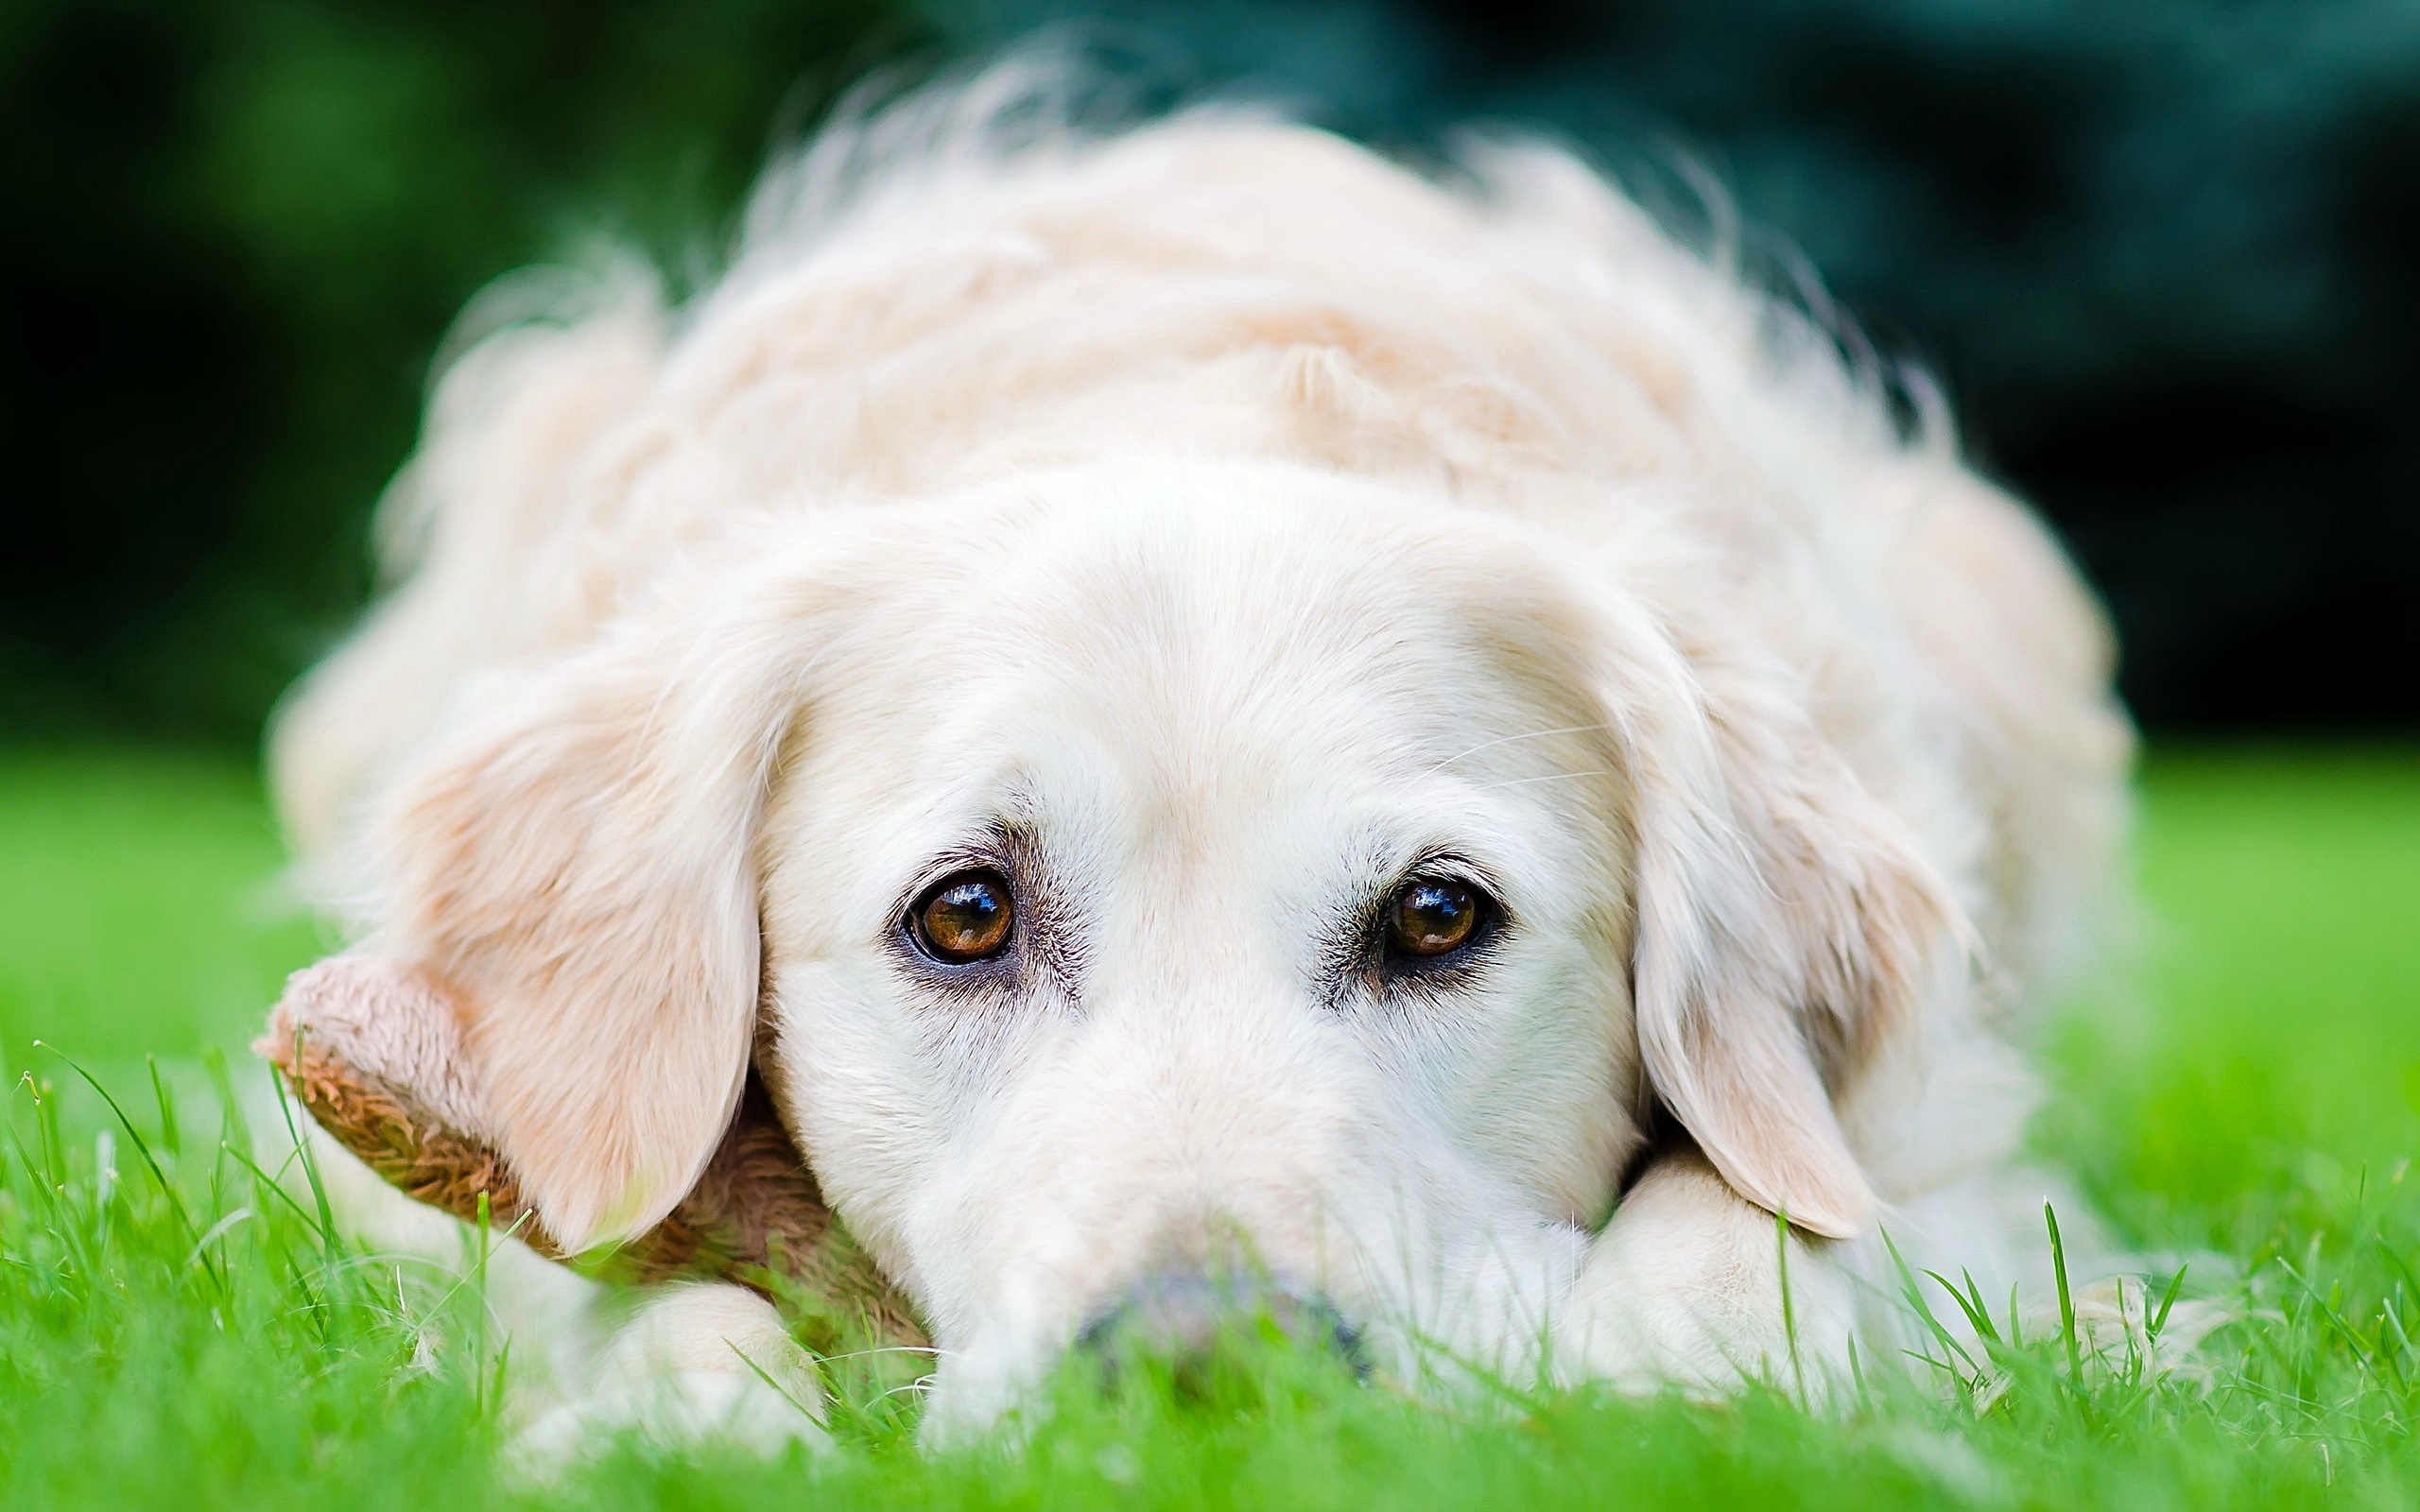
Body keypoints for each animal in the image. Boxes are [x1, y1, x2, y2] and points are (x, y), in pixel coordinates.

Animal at [255, 64, 2129, 1441]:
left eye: (1440, 918)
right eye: (964, 917)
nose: (1204, 1366)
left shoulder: (1944, 1155)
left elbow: (1765, 1232)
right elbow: (655, 1296)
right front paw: (679, 1425)